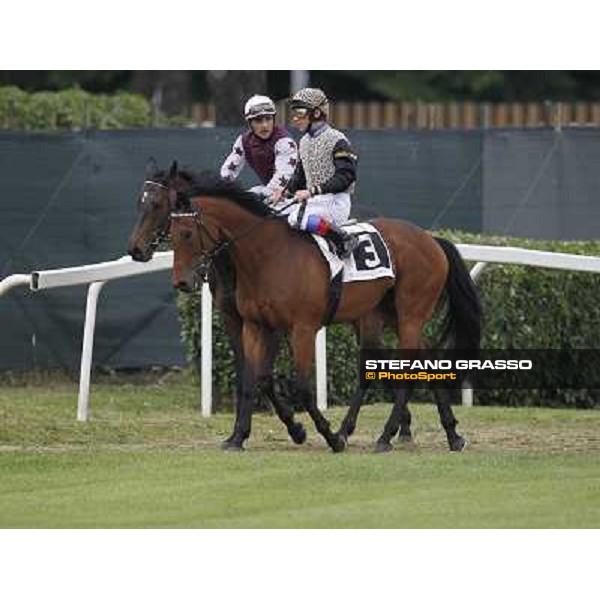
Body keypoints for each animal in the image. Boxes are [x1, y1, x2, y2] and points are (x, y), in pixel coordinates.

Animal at [129, 159, 312, 446]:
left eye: (157, 204)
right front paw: (238, 432)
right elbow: (244, 371)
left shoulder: (271, 322)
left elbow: (261, 374)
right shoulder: (231, 318)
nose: (135, 249)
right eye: (140, 202)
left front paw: (295, 428)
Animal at [169, 171, 482, 452]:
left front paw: (329, 437)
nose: (181, 282)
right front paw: (238, 438)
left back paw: (384, 436)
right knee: (422, 358)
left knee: (407, 366)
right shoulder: (257, 325)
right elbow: (255, 377)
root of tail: (432, 240)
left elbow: (302, 387)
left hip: (410, 314)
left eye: (187, 233)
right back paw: (452, 434)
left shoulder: (303, 328)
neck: (268, 256)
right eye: (170, 236)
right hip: (385, 314)